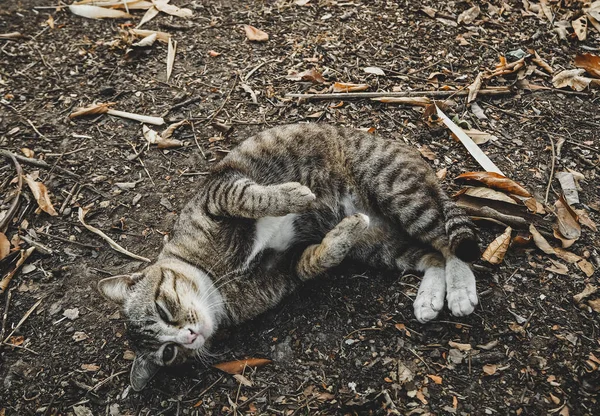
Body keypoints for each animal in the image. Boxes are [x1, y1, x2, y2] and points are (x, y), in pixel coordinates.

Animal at [101, 123, 480, 390]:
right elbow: (320, 257)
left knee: (450, 243)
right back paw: (430, 297)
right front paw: (340, 232)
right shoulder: (288, 270)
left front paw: (295, 195)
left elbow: (248, 196)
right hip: (382, 247)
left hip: (396, 190)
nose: (189, 337)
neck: (217, 278)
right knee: (432, 256)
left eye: (163, 309)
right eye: (168, 353)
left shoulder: (217, 192)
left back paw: (461, 289)